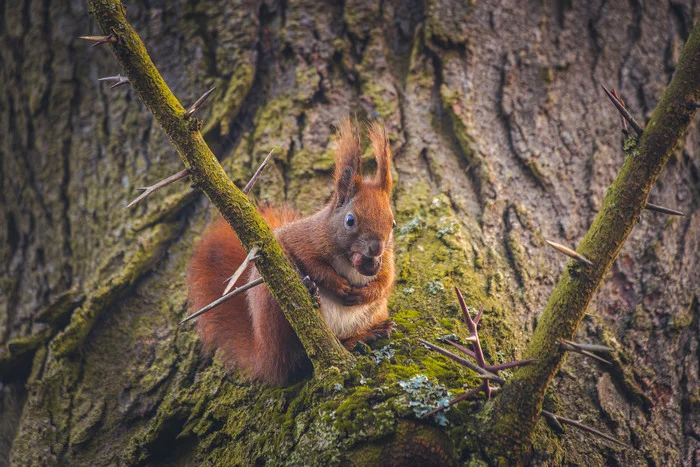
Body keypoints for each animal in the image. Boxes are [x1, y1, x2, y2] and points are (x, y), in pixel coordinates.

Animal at [186, 118, 396, 385]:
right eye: (350, 220)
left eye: (393, 224)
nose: (376, 248)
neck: (350, 258)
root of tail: (265, 355)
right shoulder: (302, 238)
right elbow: (308, 260)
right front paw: (337, 284)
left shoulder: (387, 261)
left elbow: (386, 281)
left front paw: (364, 292)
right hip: (273, 306)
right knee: (297, 356)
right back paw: (312, 293)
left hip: (372, 314)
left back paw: (367, 334)